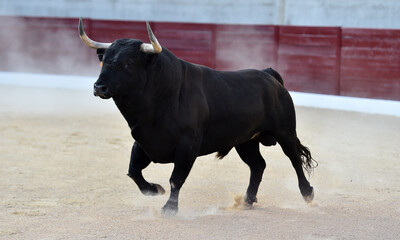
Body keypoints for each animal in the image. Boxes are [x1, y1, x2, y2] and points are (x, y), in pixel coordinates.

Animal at [78, 18, 316, 214]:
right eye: (104, 61)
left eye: (129, 63)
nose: (99, 87)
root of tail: (269, 75)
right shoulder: (143, 142)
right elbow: (133, 171)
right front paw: (154, 190)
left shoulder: (187, 146)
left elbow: (176, 179)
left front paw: (169, 209)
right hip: (245, 141)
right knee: (258, 165)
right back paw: (247, 201)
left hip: (285, 131)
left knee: (294, 159)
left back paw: (307, 194)